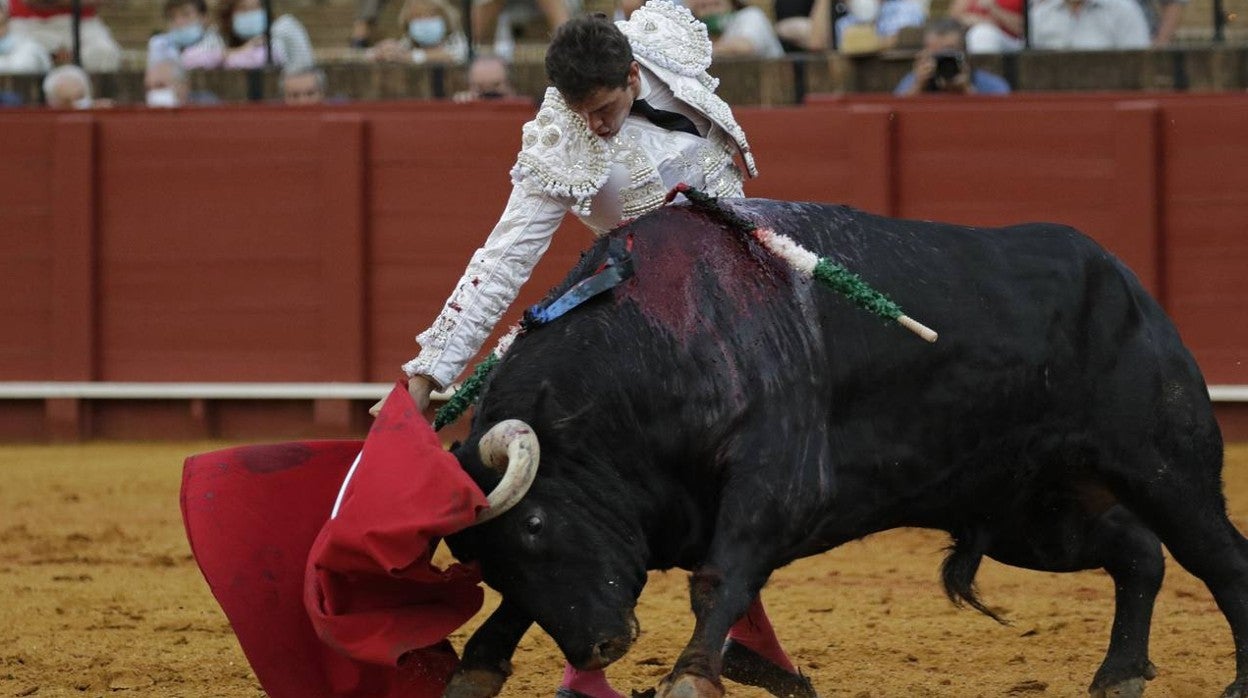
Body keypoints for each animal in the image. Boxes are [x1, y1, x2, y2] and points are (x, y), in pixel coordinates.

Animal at [439, 199, 1238, 698]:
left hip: (1166, 465)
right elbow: (526, 606)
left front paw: (693, 674)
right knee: (1138, 553)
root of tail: (1125, 279)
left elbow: (718, 579)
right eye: (485, 558)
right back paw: (1120, 674)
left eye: (536, 524)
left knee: (1219, 556)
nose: (600, 649)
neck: (654, 346)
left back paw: (1234, 679)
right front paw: (476, 665)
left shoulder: (775, 484)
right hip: (1034, 514)